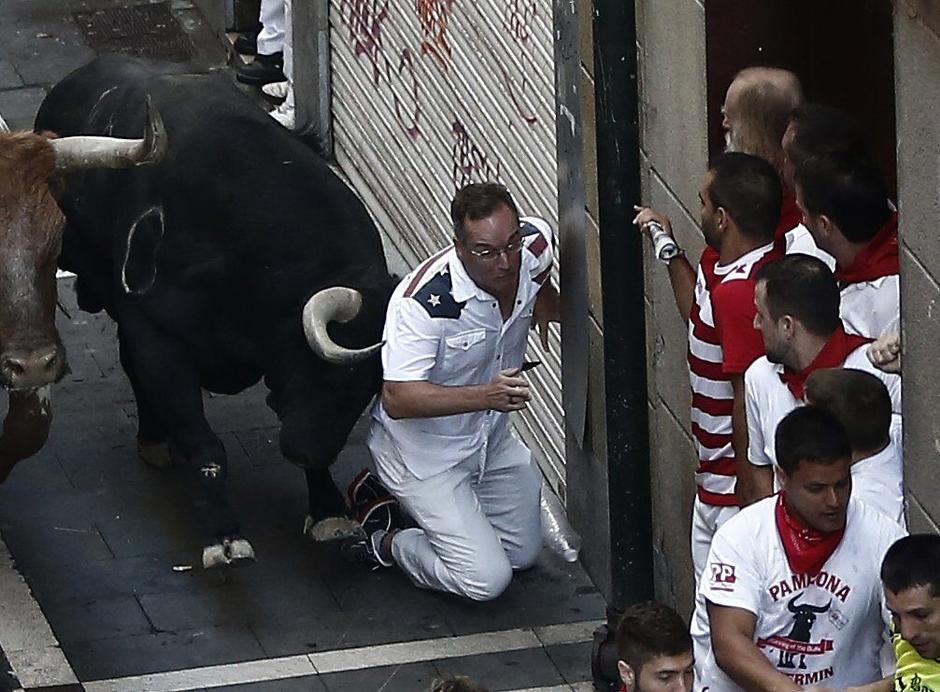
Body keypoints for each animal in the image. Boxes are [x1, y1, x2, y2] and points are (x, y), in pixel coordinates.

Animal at [35, 58, 394, 568]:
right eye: (327, 371)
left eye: (369, 387)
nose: (306, 451)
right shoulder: (159, 339)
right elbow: (205, 445)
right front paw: (225, 537)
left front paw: (328, 512)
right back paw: (155, 439)